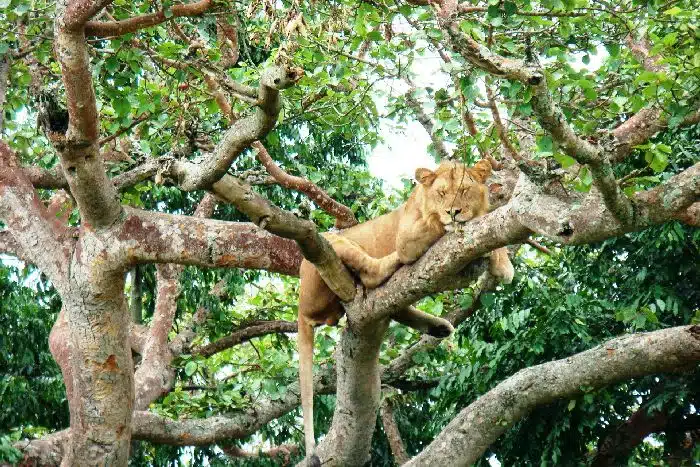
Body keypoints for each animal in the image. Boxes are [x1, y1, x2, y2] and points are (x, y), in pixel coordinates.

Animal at [296, 159, 516, 462]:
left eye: (465, 191)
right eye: (442, 194)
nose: (454, 211)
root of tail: (300, 309)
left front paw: (502, 262)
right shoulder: (410, 237)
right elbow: (439, 225)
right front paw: (455, 224)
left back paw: (438, 327)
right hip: (324, 245)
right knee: (373, 272)